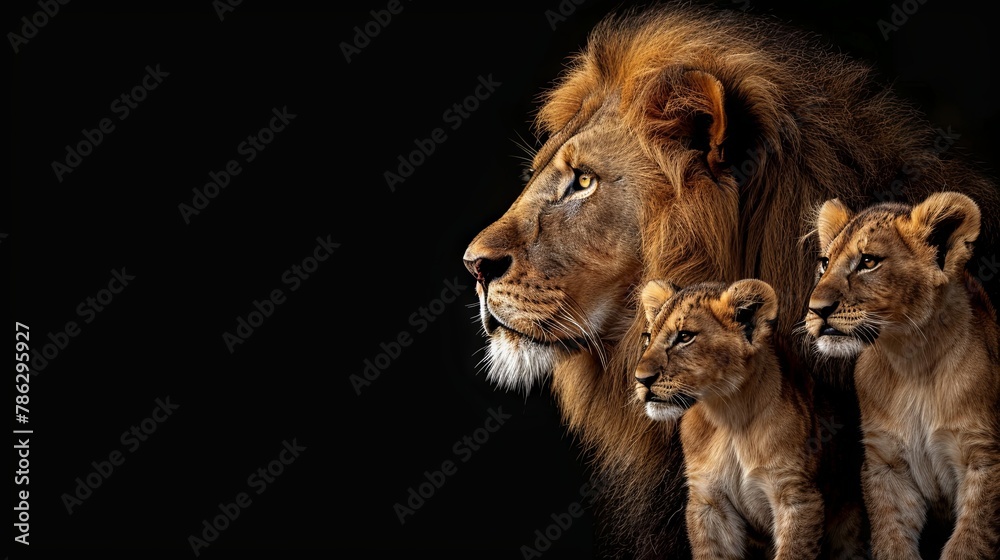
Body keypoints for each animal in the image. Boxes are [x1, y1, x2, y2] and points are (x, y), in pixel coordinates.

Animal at [635, 278, 860, 560]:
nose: (640, 379)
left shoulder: (797, 496)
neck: (729, 416)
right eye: (648, 338)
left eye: (685, 337)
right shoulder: (708, 500)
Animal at [804, 192, 1000, 559]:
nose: (816, 309)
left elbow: (969, 542)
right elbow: (891, 539)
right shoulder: (886, 464)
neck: (912, 363)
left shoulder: (984, 458)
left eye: (868, 261)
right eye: (824, 263)